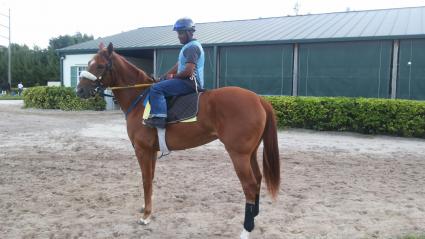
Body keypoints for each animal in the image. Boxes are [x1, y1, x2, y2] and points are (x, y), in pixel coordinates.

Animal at [76, 43, 280, 239]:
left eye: (100, 65)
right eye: (88, 64)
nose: (79, 90)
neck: (140, 98)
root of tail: (258, 99)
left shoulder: (142, 150)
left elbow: (145, 180)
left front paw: (146, 216)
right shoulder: (152, 151)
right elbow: (150, 178)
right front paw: (147, 208)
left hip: (238, 155)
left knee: (250, 186)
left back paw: (246, 229)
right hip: (250, 153)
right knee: (258, 179)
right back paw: (254, 216)